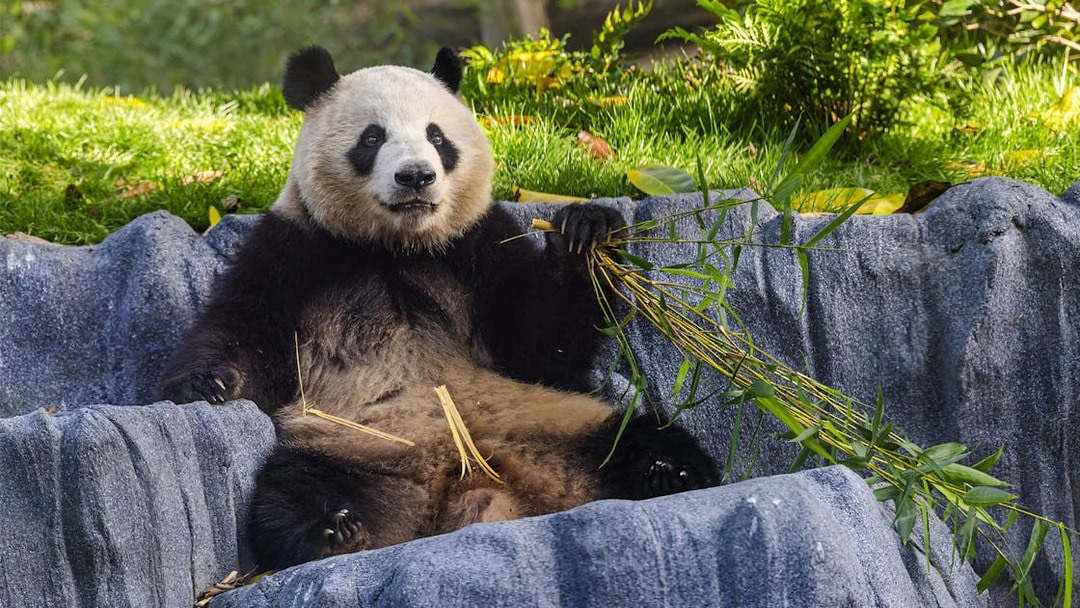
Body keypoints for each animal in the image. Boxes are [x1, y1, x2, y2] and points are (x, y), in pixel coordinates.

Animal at [158, 45, 718, 571]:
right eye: (372, 138)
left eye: (437, 138)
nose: (415, 177)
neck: (394, 247)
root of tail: (467, 483)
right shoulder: (297, 247)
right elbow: (246, 325)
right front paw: (205, 383)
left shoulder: (477, 244)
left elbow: (539, 343)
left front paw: (587, 233)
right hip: (353, 445)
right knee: (291, 492)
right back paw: (333, 530)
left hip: (557, 423)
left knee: (640, 436)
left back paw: (669, 472)